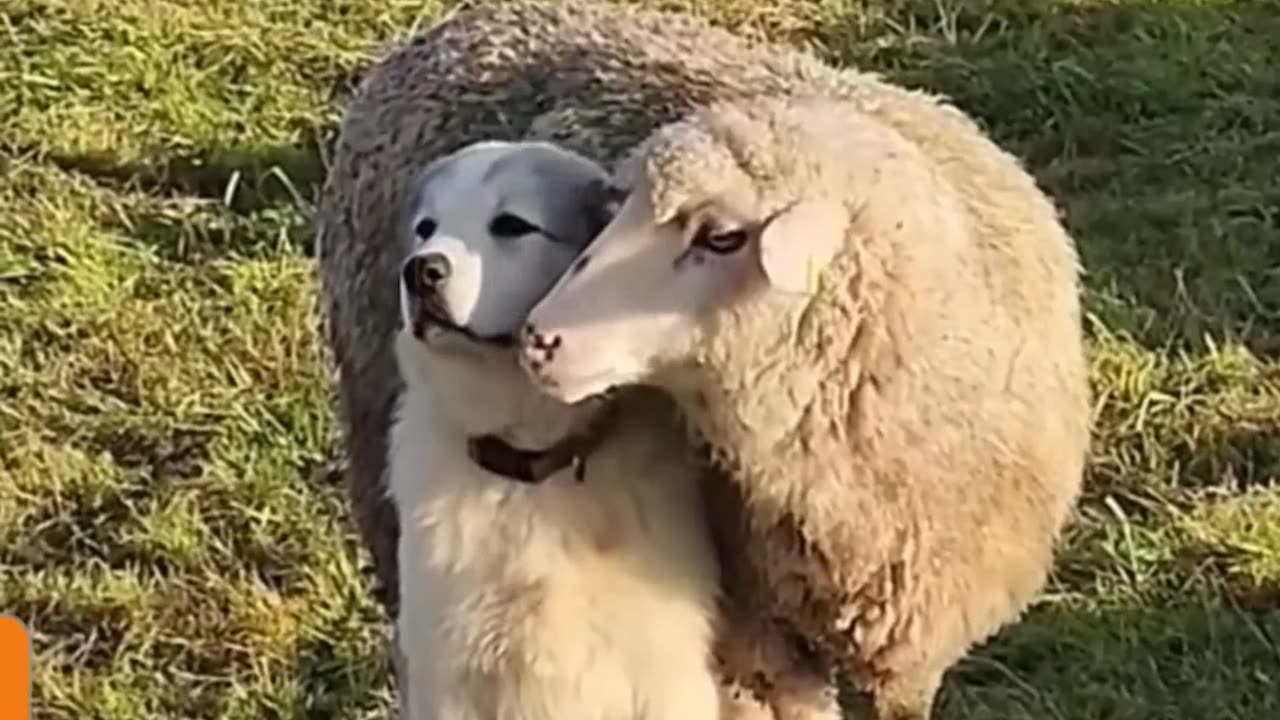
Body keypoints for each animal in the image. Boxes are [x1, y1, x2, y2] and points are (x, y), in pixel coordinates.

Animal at [389, 140, 727, 717]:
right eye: (426, 228)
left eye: (511, 225)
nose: (420, 271)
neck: (532, 468)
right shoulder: (449, 679)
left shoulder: (666, 676)